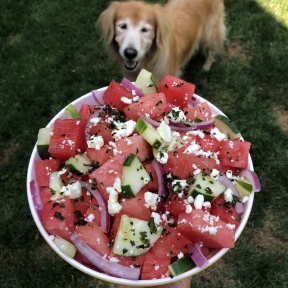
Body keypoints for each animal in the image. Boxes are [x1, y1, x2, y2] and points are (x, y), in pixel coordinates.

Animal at [98, 0, 226, 81]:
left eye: (145, 29)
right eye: (123, 26)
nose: (130, 53)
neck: (147, 62)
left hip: (211, 33)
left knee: (213, 49)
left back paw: (206, 66)